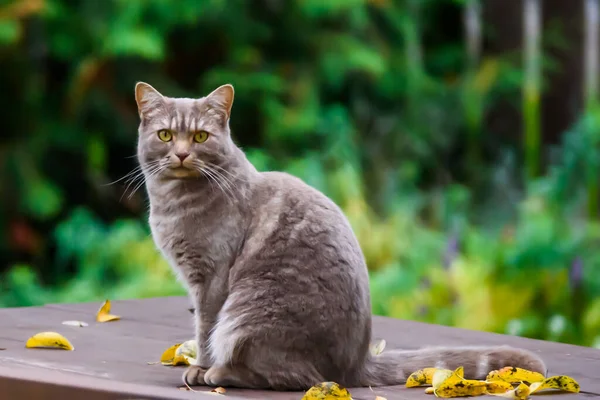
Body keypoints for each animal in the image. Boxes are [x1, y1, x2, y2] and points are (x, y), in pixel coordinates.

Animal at [134, 82, 548, 390]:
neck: (174, 202)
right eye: (166, 135)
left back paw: (221, 373)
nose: (182, 154)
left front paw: (201, 367)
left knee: (300, 378)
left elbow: (205, 329)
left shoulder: (213, 279)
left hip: (247, 315)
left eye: (201, 136)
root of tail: (357, 363)